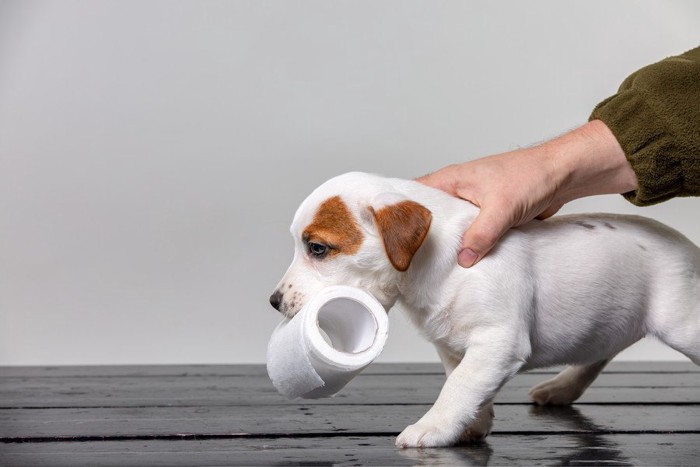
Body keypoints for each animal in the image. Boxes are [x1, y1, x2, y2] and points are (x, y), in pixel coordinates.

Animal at [270, 173, 700, 450]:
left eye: (318, 248)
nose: (273, 301)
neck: (435, 267)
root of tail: (690, 248)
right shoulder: (452, 346)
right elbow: (463, 379)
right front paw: (473, 423)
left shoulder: (498, 341)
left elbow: (458, 386)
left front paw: (433, 427)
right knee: (599, 353)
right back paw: (561, 388)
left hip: (681, 323)